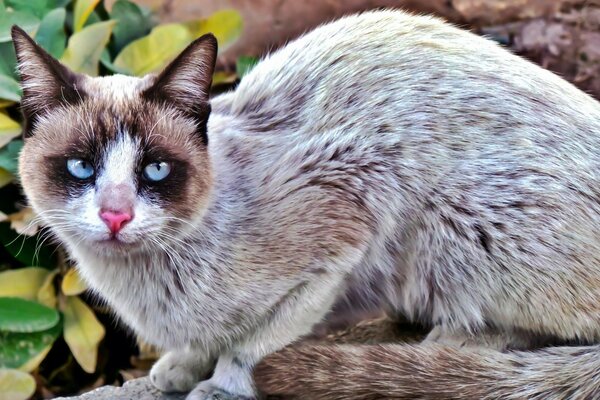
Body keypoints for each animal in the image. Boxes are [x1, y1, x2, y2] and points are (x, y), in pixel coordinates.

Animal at [11, 8, 600, 400]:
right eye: (80, 167)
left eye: (156, 169)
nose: (115, 215)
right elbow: (204, 345)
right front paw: (178, 369)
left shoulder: (341, 227)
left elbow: (252, 346)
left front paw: (222, 385)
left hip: (458, 232)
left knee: (549, 333)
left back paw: (451, 342)